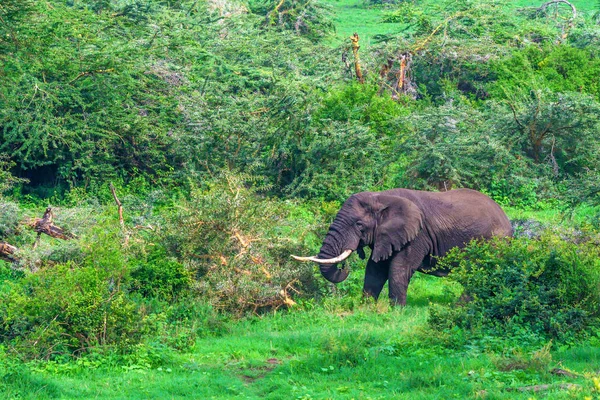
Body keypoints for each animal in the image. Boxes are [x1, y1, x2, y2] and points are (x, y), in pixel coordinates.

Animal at [290, 189, 510, 304]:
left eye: (359, 225)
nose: (344, 267)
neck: (381, 198)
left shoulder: (417, 235)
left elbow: (399, 268)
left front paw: (396, 312)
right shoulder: (386, 235)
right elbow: (375, 270)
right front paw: (366, 308)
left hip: (494, 242)